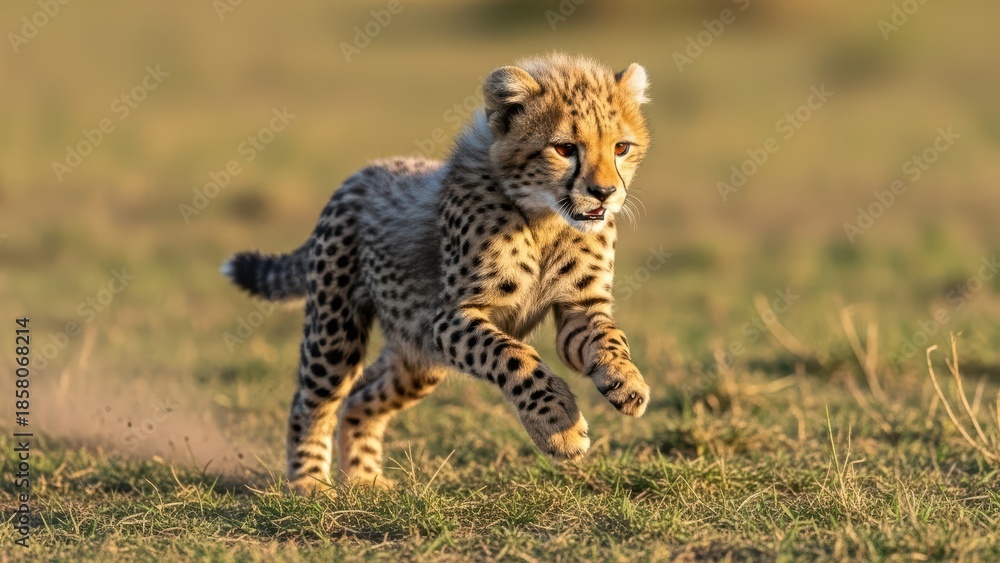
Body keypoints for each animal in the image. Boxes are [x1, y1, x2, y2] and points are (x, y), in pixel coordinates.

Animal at [222, 53, 652, 493]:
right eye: (565, 148)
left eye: (621, 147)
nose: (605, 193)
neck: (545, 218)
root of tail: (363, 172)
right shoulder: (451, 317)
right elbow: (516, 356)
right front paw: (557, 425)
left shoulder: (579, 306)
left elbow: (609, 336)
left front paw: (627, 380)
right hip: (335, 333)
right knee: (312, 401)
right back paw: (309, 483)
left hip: (416, 357)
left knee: (361, 395)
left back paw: (364, 479)